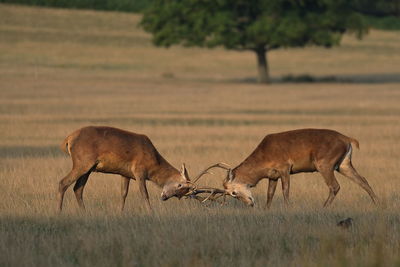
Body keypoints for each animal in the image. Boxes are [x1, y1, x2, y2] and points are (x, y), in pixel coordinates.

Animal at [58, 126, 214, 214]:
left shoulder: (125, 174)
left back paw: (84, 213)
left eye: (180, 195)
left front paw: (120, 213)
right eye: (179, 185)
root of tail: (68, 139)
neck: (153, 161)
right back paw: (59, 212)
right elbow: (144, 194)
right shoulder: (139, 171)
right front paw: (150, 212)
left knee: (78, 188)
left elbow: (123, 194)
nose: (164, 197)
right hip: (82, 163)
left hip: (89, 168)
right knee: (63, 182)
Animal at [206, 129, 378, 208]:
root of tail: (347, 139)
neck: (264, 154)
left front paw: (288, 208)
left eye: (233, 192)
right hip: (343, 165)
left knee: (335, 186)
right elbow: (269, 194)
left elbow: (285, 191)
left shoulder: (285, 168)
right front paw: (266, 210)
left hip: (325, 165)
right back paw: (377, 203)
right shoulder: (273, 176)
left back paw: (323, 207)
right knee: (363, 180)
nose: (250, 203)